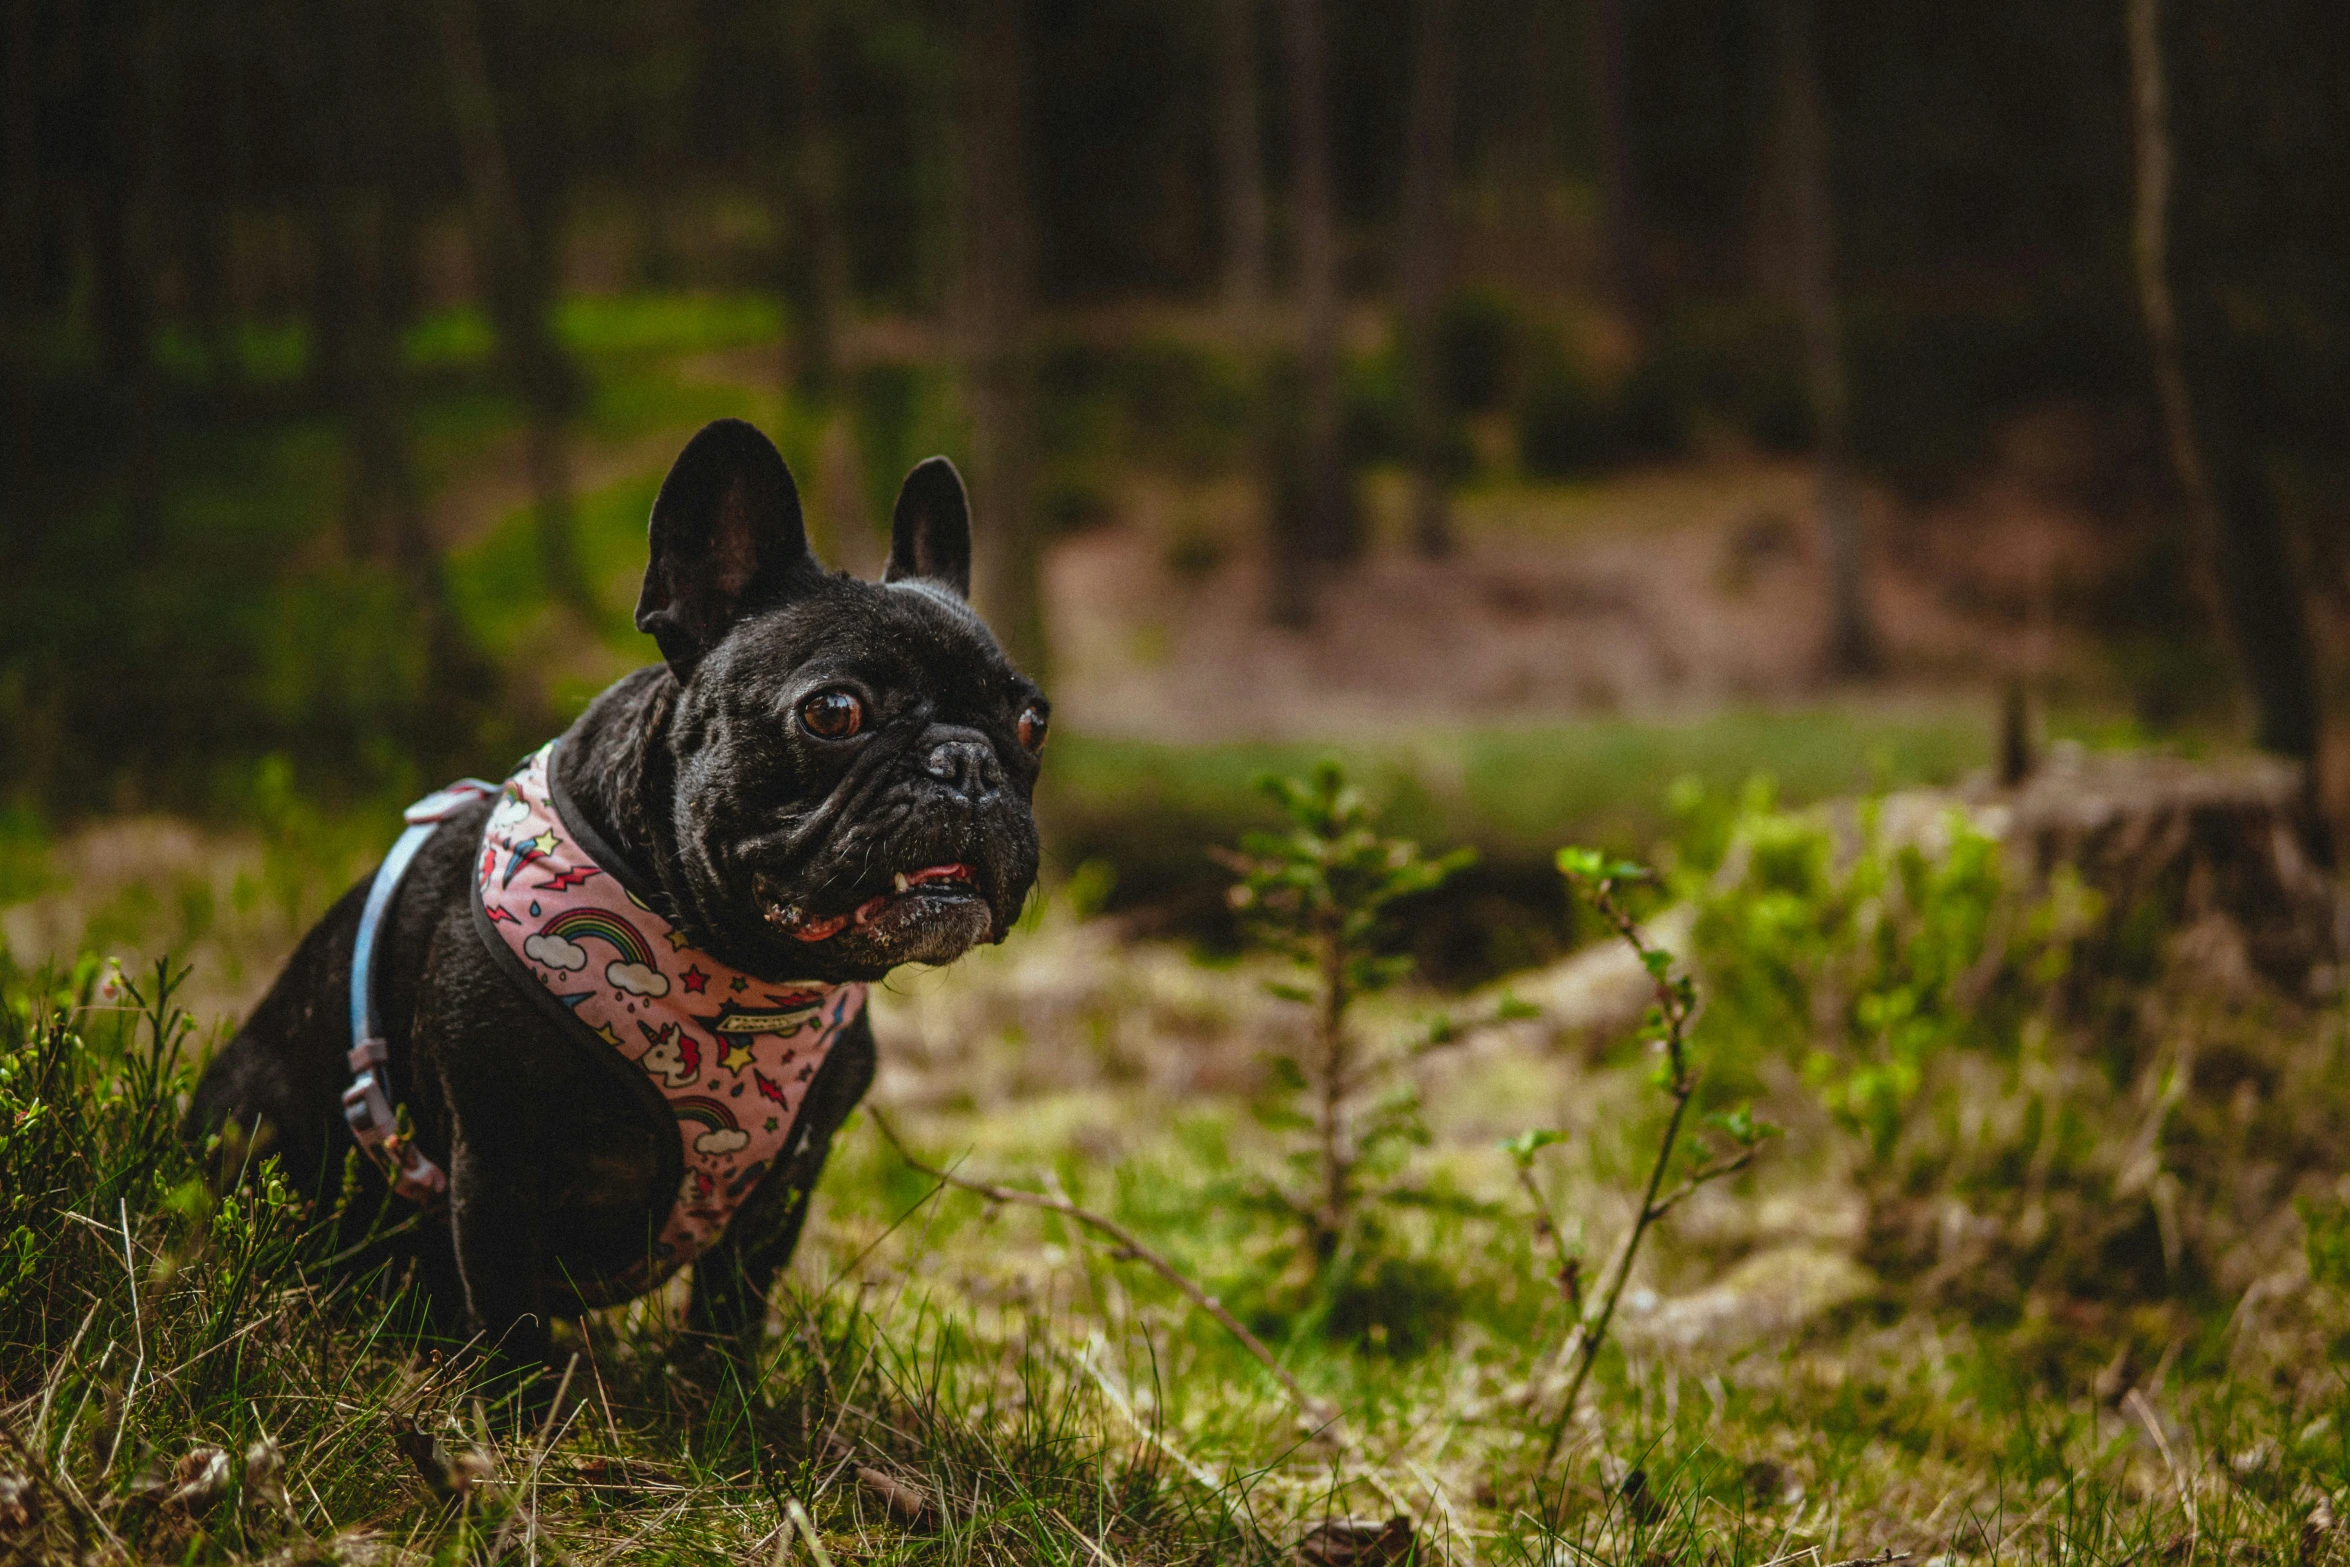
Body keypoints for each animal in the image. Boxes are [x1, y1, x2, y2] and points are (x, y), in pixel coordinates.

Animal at [192, 420, 1048, 1372]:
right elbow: (511, 1326)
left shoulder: (783, 1185)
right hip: (252, 1121)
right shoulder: (499, 1170)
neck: (744, 978)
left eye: (1031, 724)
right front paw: (523, 1408)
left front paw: (723, 1398)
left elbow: (729, 1313)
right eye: (834, 711)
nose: (966, 762)